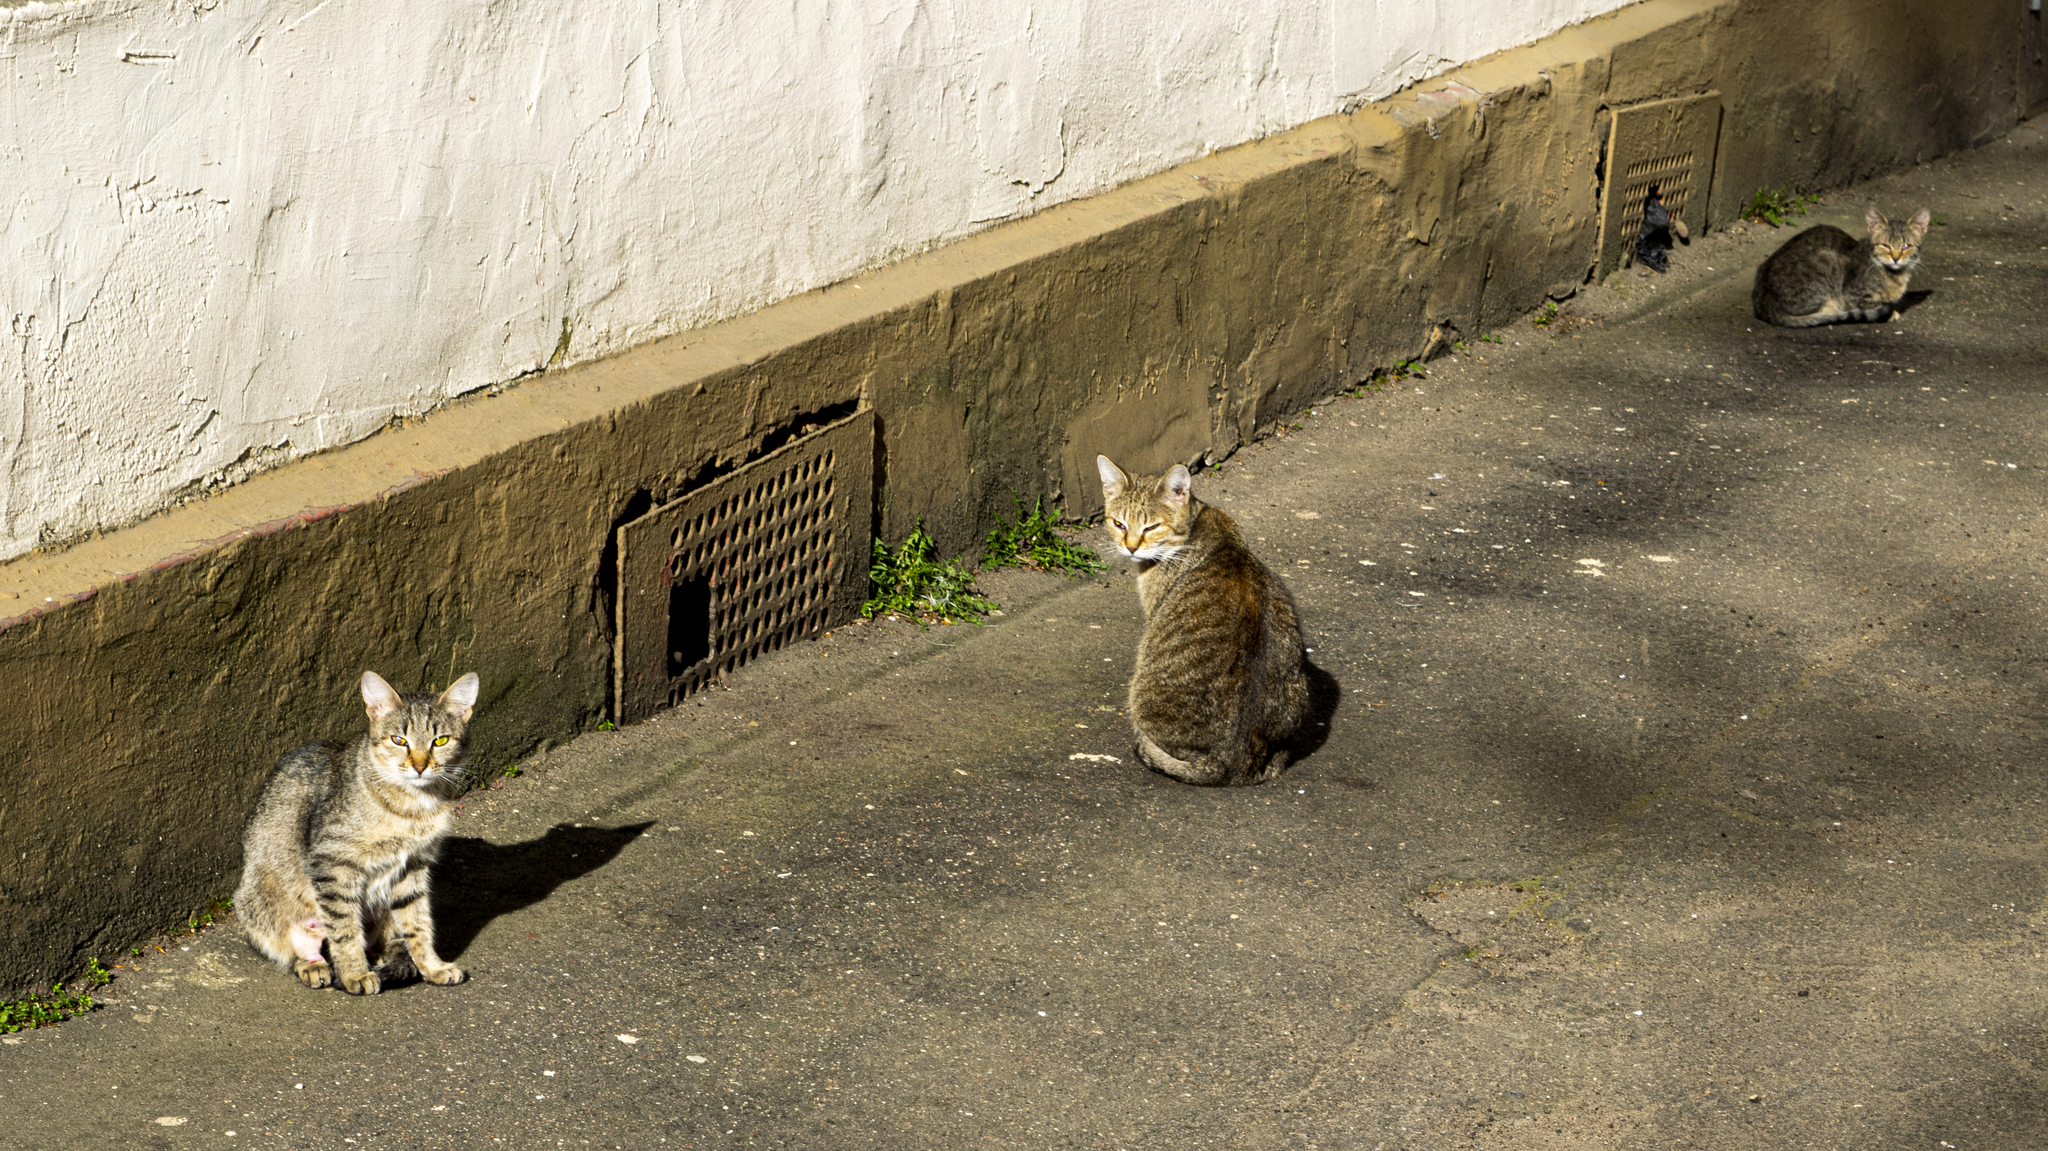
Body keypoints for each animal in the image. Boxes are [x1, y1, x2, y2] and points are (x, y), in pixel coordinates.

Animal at [237, 667, 481, 991]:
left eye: (440, 741)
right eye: (399, 740)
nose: (419, 767)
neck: (414, 806)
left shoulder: (414, 866)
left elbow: (419, 924)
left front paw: (431, 966)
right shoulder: (333, 864)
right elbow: (344, 928)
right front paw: (354, 973)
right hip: (258, 903)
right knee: (301, 949)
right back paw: (315, 965)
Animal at [1753, 205, 1925, 327]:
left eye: (1906, 246)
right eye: (1885, 245)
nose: (1895, 258)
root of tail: (1766, 303)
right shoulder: (1853, 293)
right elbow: (1873, 304)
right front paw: (1890, 312)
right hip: (1828, 260)